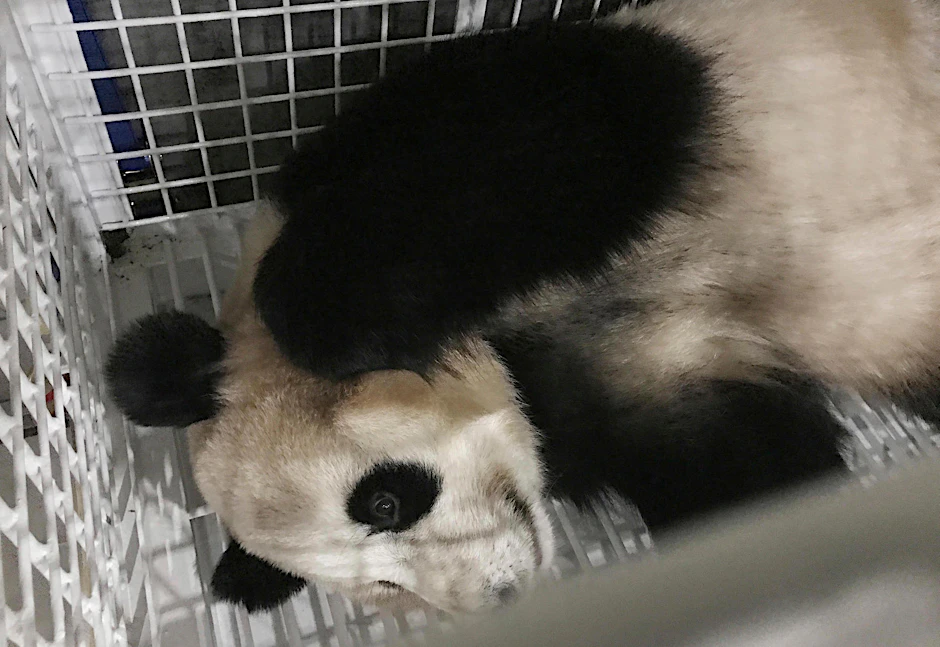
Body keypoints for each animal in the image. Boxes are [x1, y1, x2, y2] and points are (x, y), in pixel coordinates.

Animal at [106, 0, 940, 616]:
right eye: (387, 588)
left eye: (383, 500)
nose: (502, 594)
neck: (511, 347)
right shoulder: (640, 391)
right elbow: (759, 486)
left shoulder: (438, 125)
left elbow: (572, 122)